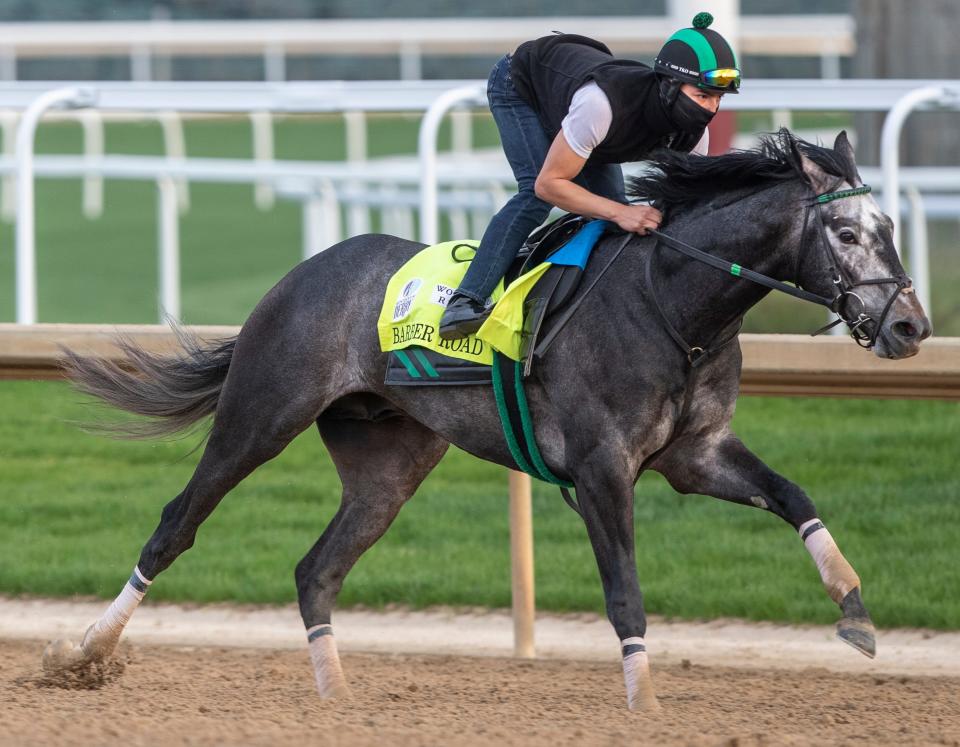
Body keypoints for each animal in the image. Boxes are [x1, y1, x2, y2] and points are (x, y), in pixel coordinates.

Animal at [50, 131, 928, 712]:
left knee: (316, 570)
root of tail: (299, 275)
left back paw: (339, 700)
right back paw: (86, 649)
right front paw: (644, 704)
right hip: (261, 416)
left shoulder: (697, 453)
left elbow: (793, 495)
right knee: (176, 525)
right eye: (847, 232)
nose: (912, 325)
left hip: (389, 463)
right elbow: (625, 592)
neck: (674, 304)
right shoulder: (602, 468)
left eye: (889, 229)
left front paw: (854, 609)